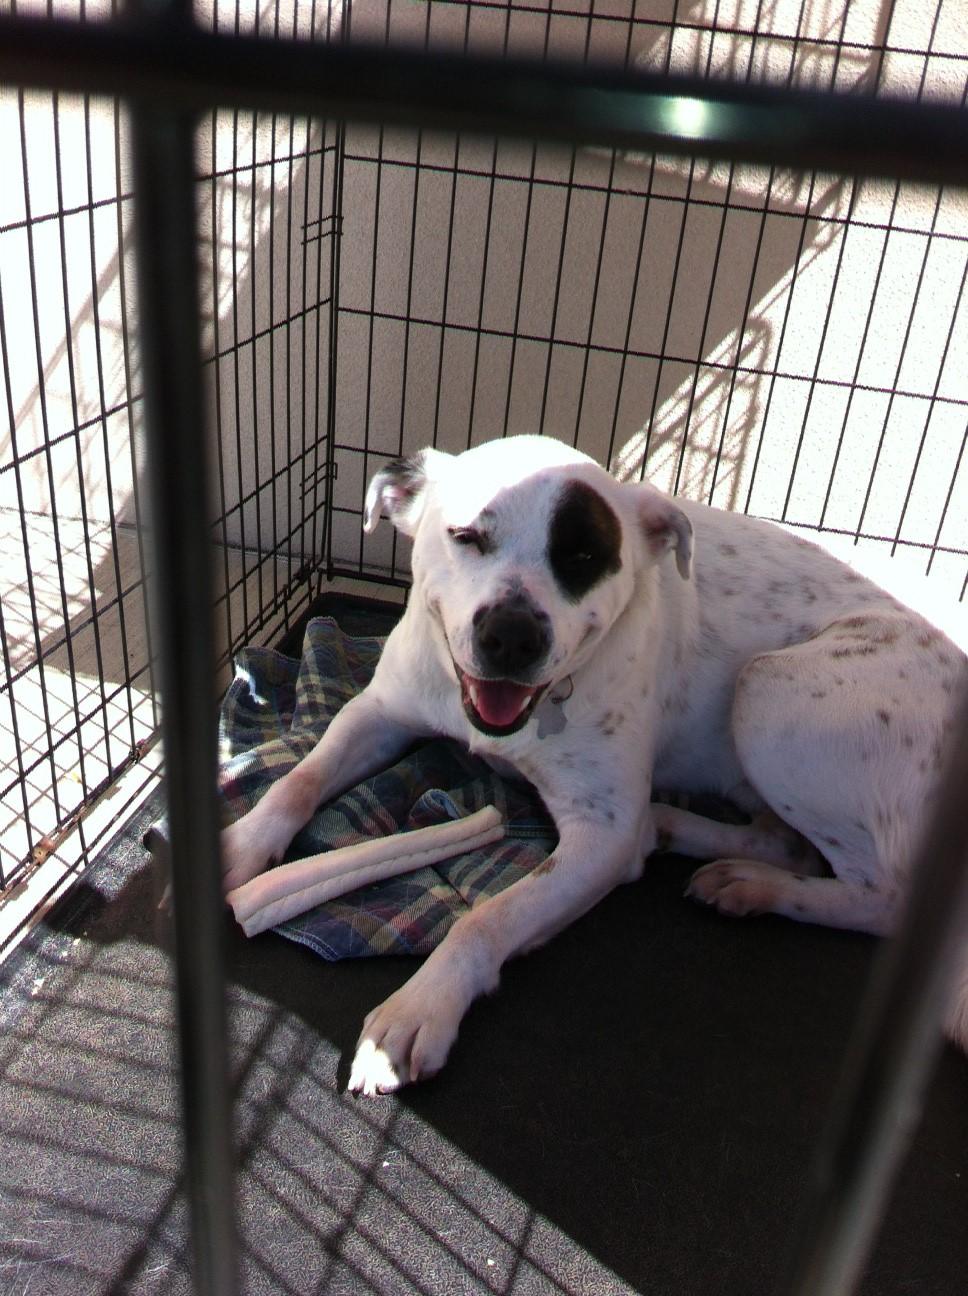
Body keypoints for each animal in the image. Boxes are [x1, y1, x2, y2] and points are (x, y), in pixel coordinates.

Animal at [221, 435, 968, 1093]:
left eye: (584, 555)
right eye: (467, 537)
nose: (512, 635)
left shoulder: (598, 838)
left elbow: (487, 917)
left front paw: (420, 1005)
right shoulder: (378, 711)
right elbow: (299, 780)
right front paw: (241, 843)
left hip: (771, 690)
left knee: (882, 897)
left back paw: (753, 883)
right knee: (785, 842)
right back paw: (695, 844)